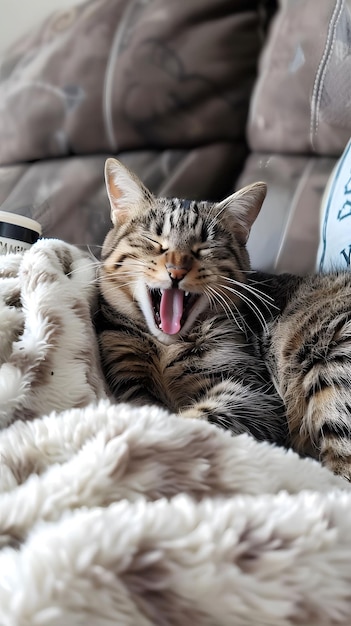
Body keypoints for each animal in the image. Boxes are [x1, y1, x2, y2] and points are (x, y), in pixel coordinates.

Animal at [95, 156, 351, 478]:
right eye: (155, 240)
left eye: (205, 247)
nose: (176, 270)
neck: (168, 347)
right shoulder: (129, 375)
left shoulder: (254, 393)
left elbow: (193, 420)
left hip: (333, 362)